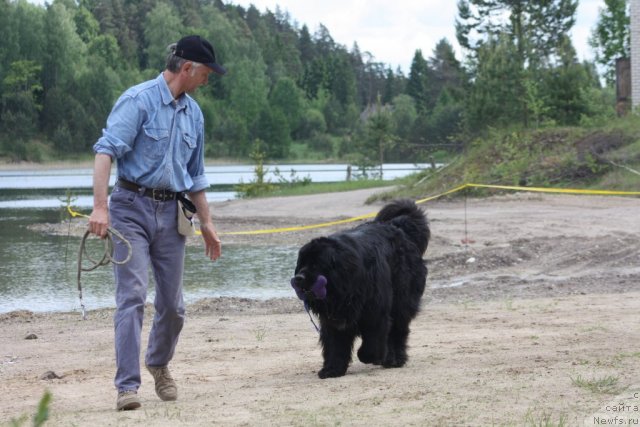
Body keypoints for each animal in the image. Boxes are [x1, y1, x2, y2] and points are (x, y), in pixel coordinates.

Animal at [290, 199, 430, 380]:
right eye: (301, 264)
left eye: (315, 264)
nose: (298, 278)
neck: (342, 289)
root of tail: (400, 229)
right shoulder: (333, 320)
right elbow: (335, 345)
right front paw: (332, 369)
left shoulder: (375, 312)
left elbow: (373, 337)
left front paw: (369, 356)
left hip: (401, 300)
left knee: (398, 331)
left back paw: (394, 359)